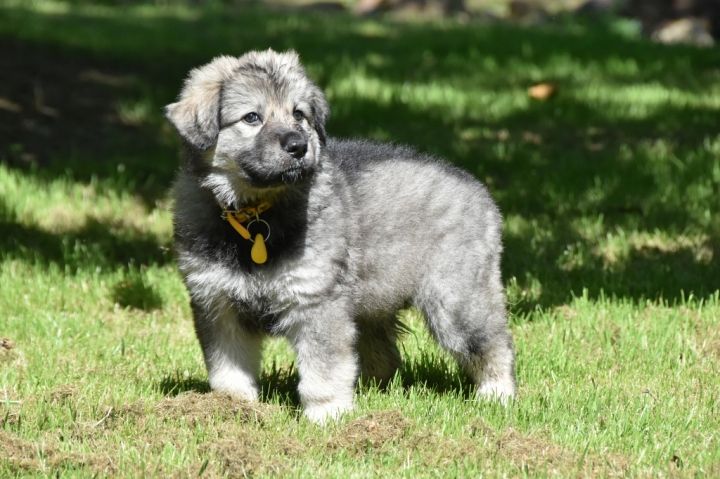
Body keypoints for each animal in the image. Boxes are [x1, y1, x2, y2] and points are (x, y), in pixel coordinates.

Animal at [165, 50, 516, 423]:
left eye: (299, 114)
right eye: (251, 117)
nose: (298, 146)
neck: (256, 214)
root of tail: (479, 190)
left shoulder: (317, 300)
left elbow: (324, 367)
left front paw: (327, 414)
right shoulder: (217, 303)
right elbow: (228, 366)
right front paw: (231, 406)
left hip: (456, 299)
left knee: (493, 344)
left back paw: (497, 394)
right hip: (372, 302)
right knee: (384, 353)